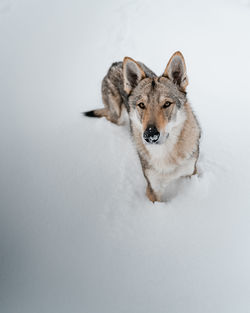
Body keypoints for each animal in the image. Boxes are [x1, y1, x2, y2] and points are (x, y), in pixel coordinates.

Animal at [85, 51, 200, 202]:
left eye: (167, 104)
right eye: (141, 105)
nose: (150, 135)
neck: (166, 154)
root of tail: (115, 64)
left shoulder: (191, 173)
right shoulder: (153, 189)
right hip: (117, 116)